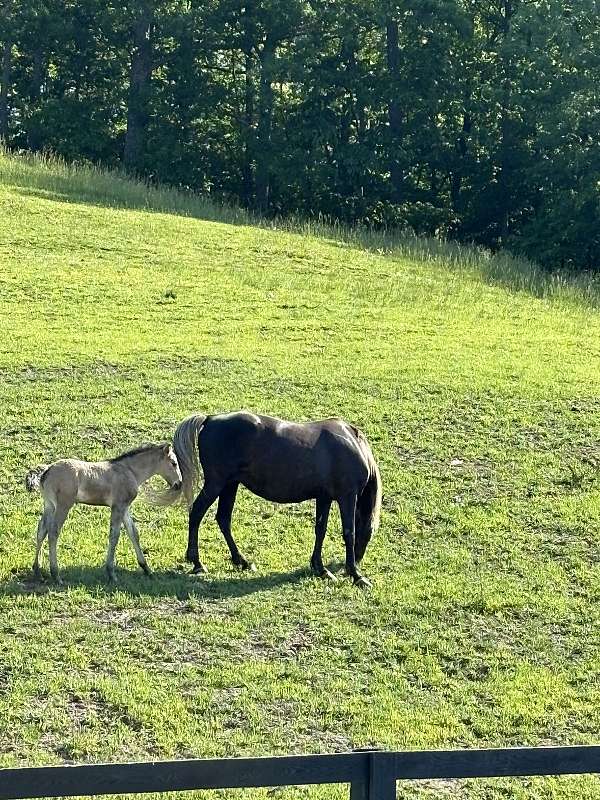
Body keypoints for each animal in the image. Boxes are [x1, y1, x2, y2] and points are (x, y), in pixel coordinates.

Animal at [169, 412, 382, 588]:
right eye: (370, 532)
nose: (357, 560)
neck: (353, 444)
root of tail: (210, 419)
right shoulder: (347, 496)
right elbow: (349, 533)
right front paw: (356, 575)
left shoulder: (324, 498)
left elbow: (320, 530)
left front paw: (320, 568)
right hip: (216, 484)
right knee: (197, 513)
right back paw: (197, 562)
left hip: (230, 485)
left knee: (223, 519)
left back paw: (242, 561)